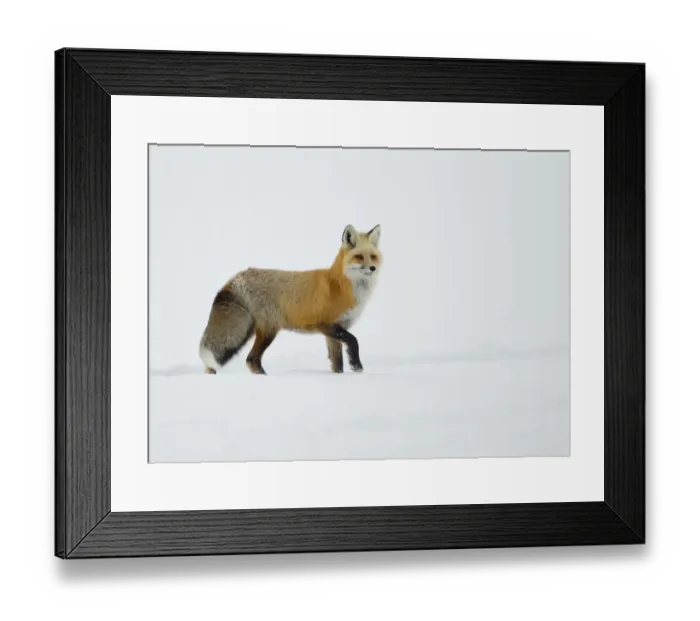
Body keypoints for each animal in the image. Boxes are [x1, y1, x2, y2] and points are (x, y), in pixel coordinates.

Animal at [199, 224, 382, 375]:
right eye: (359, 257)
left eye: (373, 257)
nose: (373, 268)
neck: (338, 285)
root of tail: (236, 278)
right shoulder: (324, 324)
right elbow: (353, 340)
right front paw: (357, 366)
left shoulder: (335, 331)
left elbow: (337, 364)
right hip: (270, 329)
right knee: (252, 359)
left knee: (247, 360)